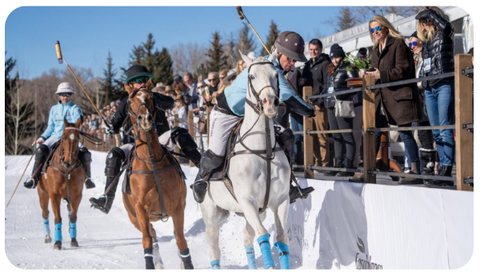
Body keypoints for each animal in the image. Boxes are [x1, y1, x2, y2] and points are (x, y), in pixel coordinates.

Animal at [36, 117, 85, 250]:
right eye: (63, 137)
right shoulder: (54, 195)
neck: (65, 169)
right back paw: (48, 237)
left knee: (68, 212)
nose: (69, 161)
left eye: (78, 137)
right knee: (45, 213)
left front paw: (74, 240)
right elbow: (57, 218)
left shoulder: (77, 195)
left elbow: (73, 216)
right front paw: (58, 242)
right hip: (42, 194)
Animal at [124, 80, 193, 270]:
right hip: (134, 217)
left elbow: (181, 241)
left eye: (150, 97)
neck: (151, 162)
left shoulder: (178, 207)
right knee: (152, 235)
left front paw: (186, 263)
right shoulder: (140, 210)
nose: (145, 119)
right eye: (129, 101)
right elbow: (147, 240)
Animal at [200, 52, 290, 268]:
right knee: (214, 251)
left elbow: (282, 238)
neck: (263, 149)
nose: (269, 103)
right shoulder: (247, 201)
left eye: (276, 74)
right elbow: (263, 234)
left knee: (247, 237)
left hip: (256, 212)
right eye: (251, 76)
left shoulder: (281, 200)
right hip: (211, 216)